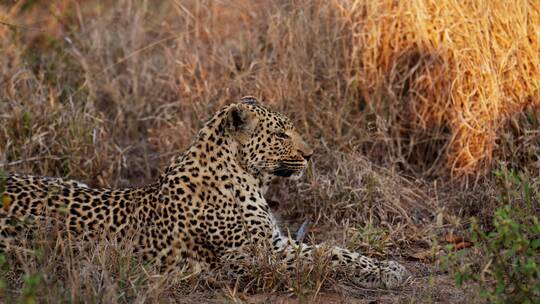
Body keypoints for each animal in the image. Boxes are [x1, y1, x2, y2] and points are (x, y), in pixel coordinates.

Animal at [0, 96, 410, 288]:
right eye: (281, 134)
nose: (310, 156)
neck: (245, 176)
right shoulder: (251, 254)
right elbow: (330, 254)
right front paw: (390, 271)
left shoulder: (275, 242)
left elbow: (335, 249)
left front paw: (388, 266)